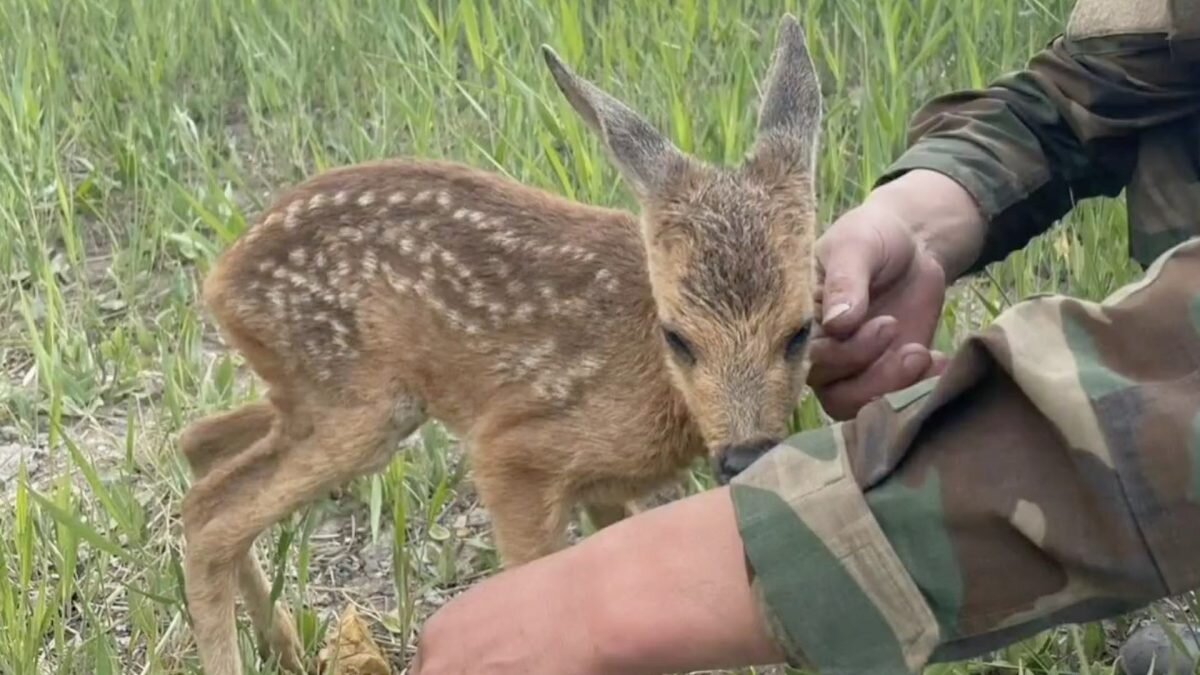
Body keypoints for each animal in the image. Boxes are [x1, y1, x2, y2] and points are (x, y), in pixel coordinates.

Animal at [180, 14, 825, 672]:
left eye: (801, 329)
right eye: (679, 337)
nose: (744, 458)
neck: (651, 376)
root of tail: (222, 279)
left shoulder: (603, 490)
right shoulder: (514, 450)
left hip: (322, 396)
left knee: (199, 448)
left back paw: (283, 642)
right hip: (361, 408)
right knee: (209, 515)